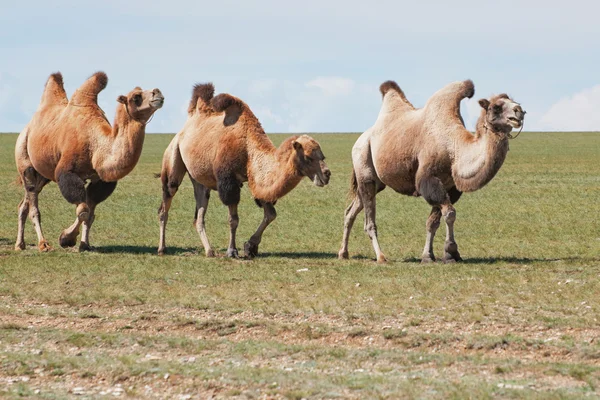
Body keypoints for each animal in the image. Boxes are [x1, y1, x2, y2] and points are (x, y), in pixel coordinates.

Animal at [15, 71, 164, 252]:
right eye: (136, 97)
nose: (157, 92)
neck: (95, 145)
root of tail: (27, 128)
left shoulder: (99, 179)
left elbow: (90, 212)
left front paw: (84, 243)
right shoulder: (66, 172)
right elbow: (83, 211)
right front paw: (66, 239)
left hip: (42, 175)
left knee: (25, 202)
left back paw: (19, 244)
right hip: (25, 160)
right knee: (33, 204)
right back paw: (43, 244)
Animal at [157, 85, 330, 260]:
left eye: (322, 156)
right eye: (308, 157)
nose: (327, 174)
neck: (248, 148)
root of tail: (185, 127)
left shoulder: (256, 180)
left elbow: (271, 214)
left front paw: (250, 246)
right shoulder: (229, 182)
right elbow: (233, 219)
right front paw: (232, 251)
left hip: (200, 179)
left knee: (199, 214)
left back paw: (209, 251)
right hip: (173, 154)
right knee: (166, 202)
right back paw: (162, 248)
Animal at [338, 80, 524, 264]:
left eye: (514, 102)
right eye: (496, 107)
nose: (519, 111)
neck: (454, 150)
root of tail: (361, 138)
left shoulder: (450, 187)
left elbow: (433, 222)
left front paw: (429, 255)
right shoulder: (429, 179)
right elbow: (449, 213)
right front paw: (451, 252)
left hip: (376, 182)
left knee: (350, 211)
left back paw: (343, 253)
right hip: (364, 164)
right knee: (369, 220)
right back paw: (381, 256)